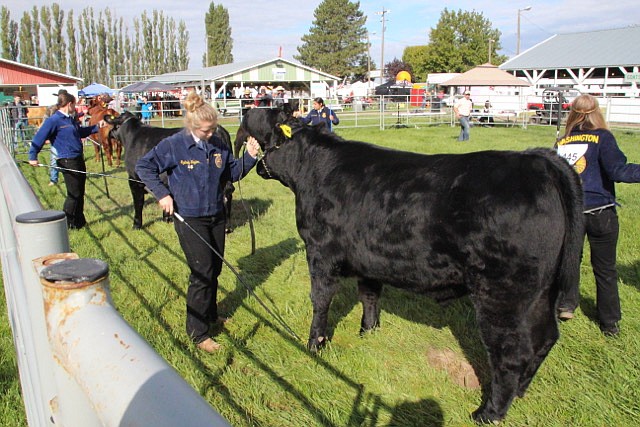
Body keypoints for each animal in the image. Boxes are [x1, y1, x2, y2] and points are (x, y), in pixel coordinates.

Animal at [105, 111, 235, 231]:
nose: (109, 134)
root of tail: (218, 128)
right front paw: (167, 218)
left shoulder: (134, 180)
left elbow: (138, 203)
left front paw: (136, 225)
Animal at [251, 120, 584, 424]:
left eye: (271, 142)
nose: (256, 164)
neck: (315, 171)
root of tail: (536, 160)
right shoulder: (368, 256)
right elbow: (369, 294)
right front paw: (368, 331)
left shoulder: (320, 251)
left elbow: (320, 300)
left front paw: (314, 344)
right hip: (540, 292)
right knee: (544, 339)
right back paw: (520, 392)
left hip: (502, 293)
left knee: (512, 352)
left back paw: (489, 412)